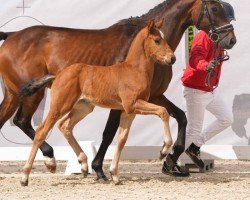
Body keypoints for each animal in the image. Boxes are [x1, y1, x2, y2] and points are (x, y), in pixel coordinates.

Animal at [20, 20, 175, 186]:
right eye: (157, 40)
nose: (172, 58)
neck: (134, 71)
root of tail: (58, 75)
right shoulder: (132, 104)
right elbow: (163, 111)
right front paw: (164, 151)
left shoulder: (128, 111)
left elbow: (122, 139)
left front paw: (114, 175)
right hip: (60, 106)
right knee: (41, 131)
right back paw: (27, 176)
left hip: (83, 108)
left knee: (65, 126)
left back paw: (83, 164)